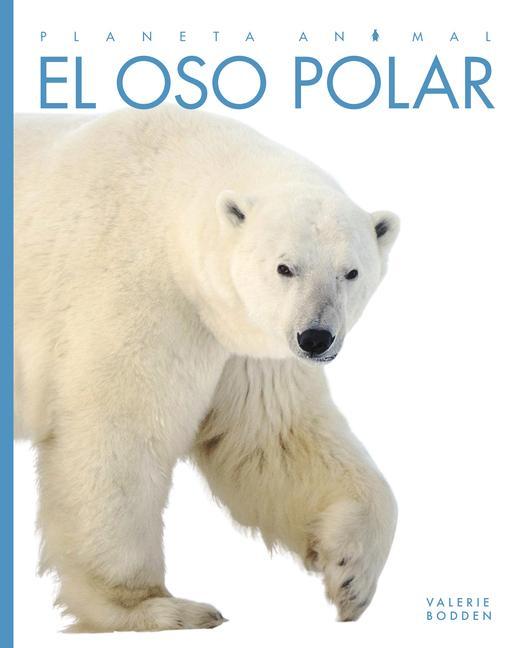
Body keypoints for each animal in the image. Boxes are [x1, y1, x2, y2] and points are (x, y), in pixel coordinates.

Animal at [14, 105, 400, 632]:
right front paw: (155, 607)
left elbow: (275, 437)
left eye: (351, 272)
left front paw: (351, 576)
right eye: (285, 267)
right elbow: (119, 437)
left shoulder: (244, 342)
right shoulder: (137, 291)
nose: (316, 338)